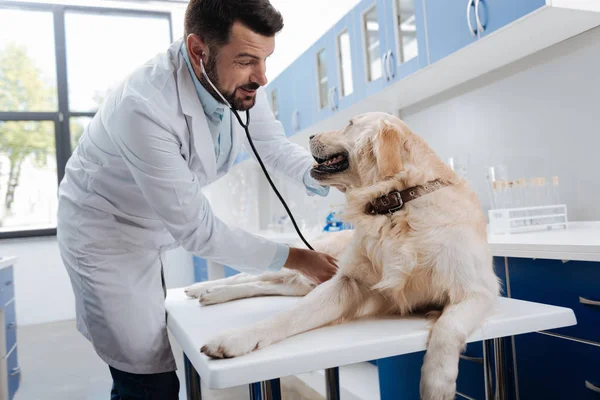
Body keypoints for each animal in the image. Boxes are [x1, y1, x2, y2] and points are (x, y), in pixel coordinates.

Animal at [185, 111, 500, 398]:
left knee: (262, 284)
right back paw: (203, 289)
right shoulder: (347, 282)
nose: (310, 135)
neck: (396, 202)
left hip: (300, 283)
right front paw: (236, 338)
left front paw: (437, 385)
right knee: (246, 276)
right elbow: (287, 317)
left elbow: (448, 328)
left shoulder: (478, 290)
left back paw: (210, 293)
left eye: (349, 124)